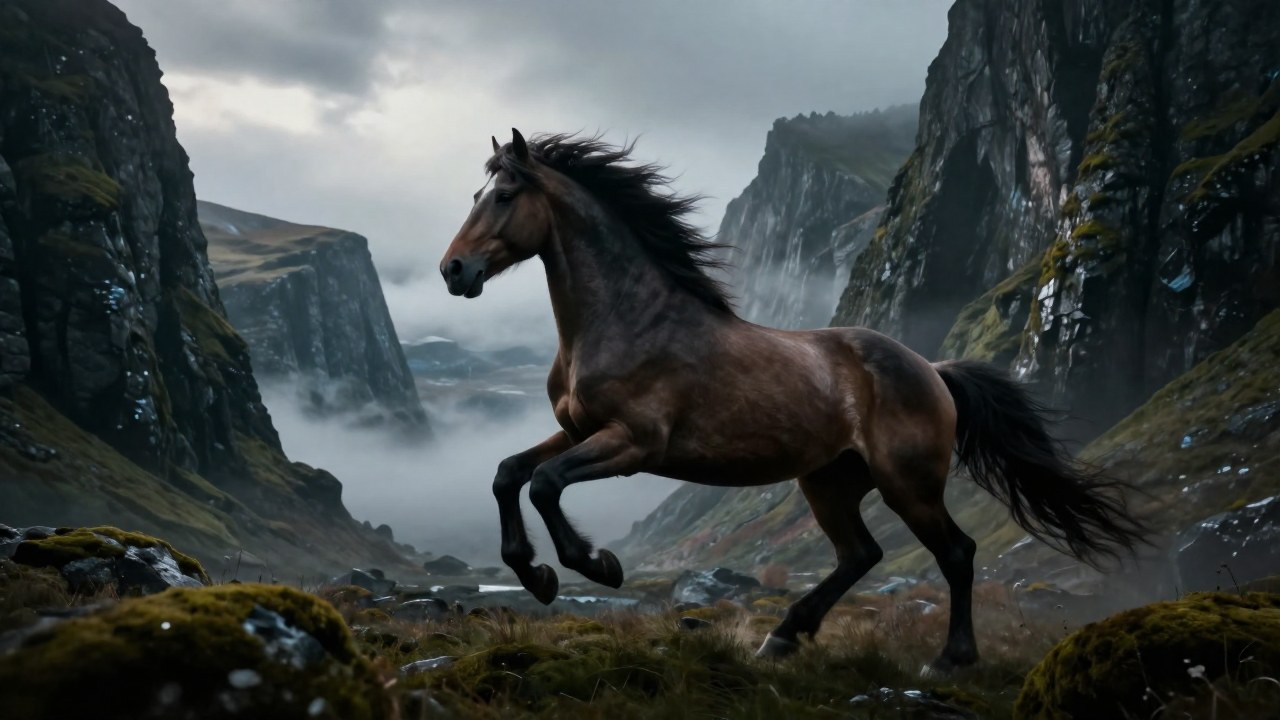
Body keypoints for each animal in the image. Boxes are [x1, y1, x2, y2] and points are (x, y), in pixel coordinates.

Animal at [438, 129, 1145, 671]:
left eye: (504, 196)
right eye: (473, 195)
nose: (453, 271)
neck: (628, 319)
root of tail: (933, 370)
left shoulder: (634, 443)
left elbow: (546, 484)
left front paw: (594, 565)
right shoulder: (578, 429)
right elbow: (508, 473)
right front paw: (535, 573)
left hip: (907, 482)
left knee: (956, 553)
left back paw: (950, 659)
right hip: (828, 480)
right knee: (861, 555)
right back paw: (781, 638)